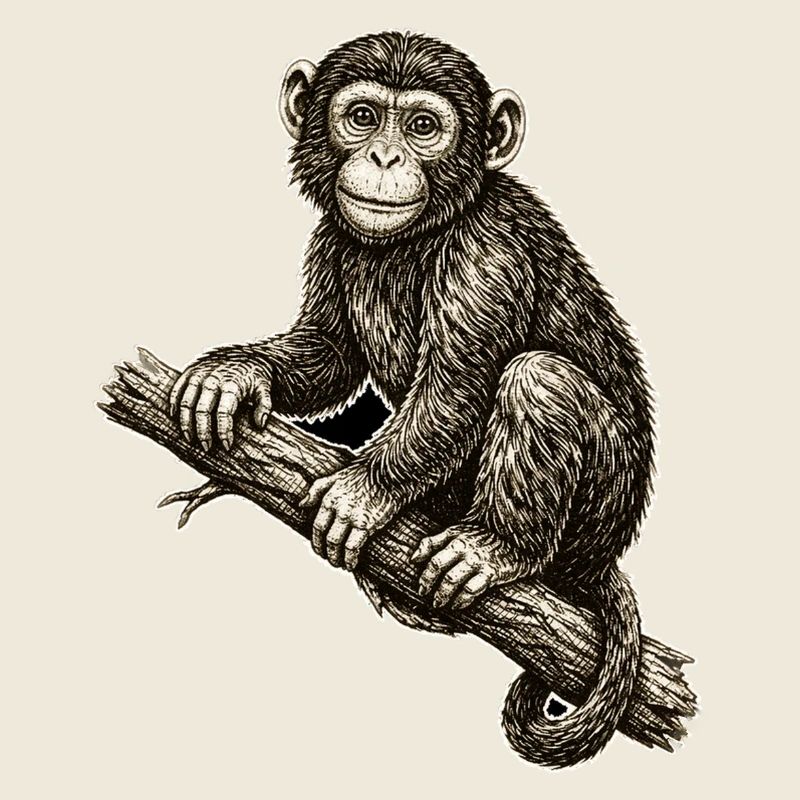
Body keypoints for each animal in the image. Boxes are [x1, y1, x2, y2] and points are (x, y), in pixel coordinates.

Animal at [169, 32, 655, 768]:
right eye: (363, 117)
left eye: (423, 126)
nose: (385, 156)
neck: (419, 235)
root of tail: (601, 559)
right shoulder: (331, 239)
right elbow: (330, 353)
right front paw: (235, 371)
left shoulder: (488, 255)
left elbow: (455, 388)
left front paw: (362, 491)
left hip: (599, 512)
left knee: (539, 379)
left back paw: (498, 548)